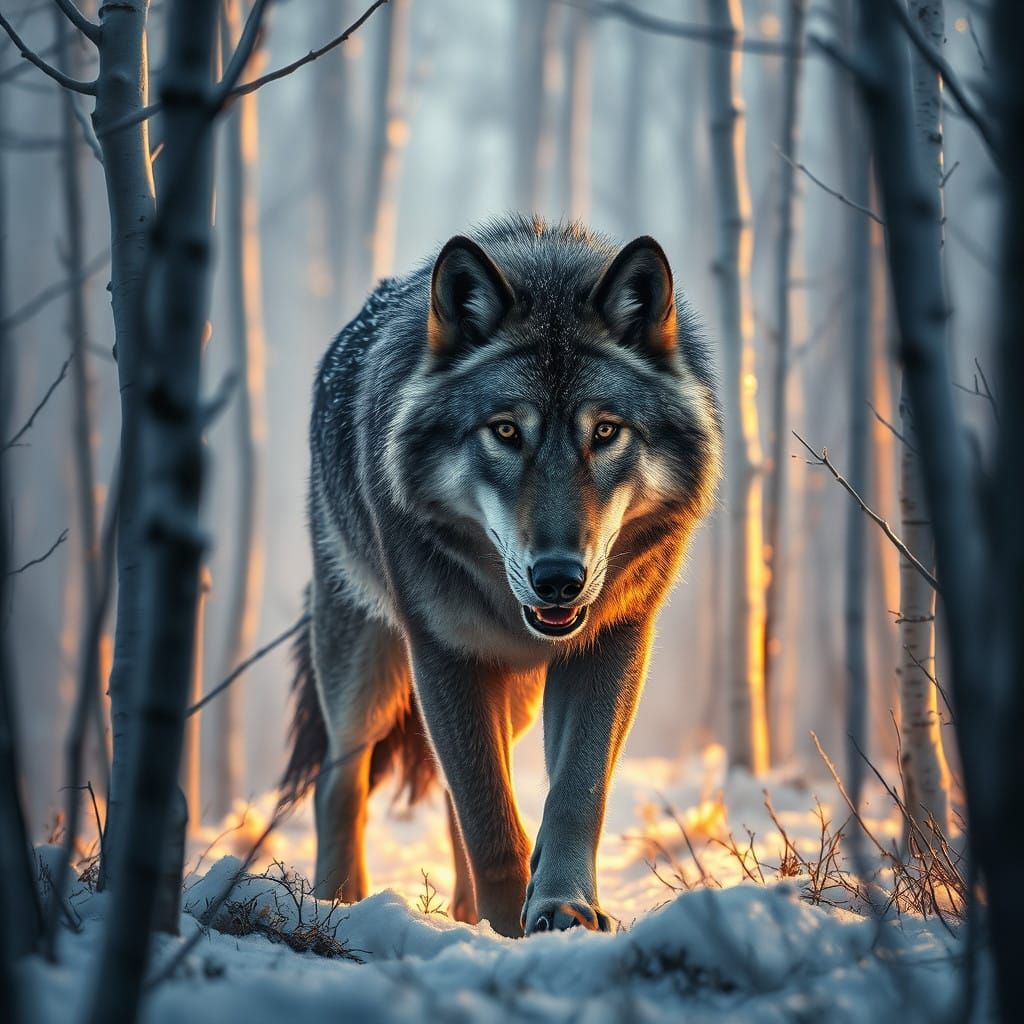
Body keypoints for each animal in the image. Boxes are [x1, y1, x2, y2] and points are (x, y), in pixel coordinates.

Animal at [282, 216, 721, 937]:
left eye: (605, 432)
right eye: (507, 431)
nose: (558, 579)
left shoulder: (614, 641)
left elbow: (574, 792)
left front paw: (561, 907)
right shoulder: (442, 654)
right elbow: (488, 820)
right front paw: (510, 932)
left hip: (506, 698)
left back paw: (464, 913)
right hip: (366, 672)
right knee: (341, 782)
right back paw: (339, 905)